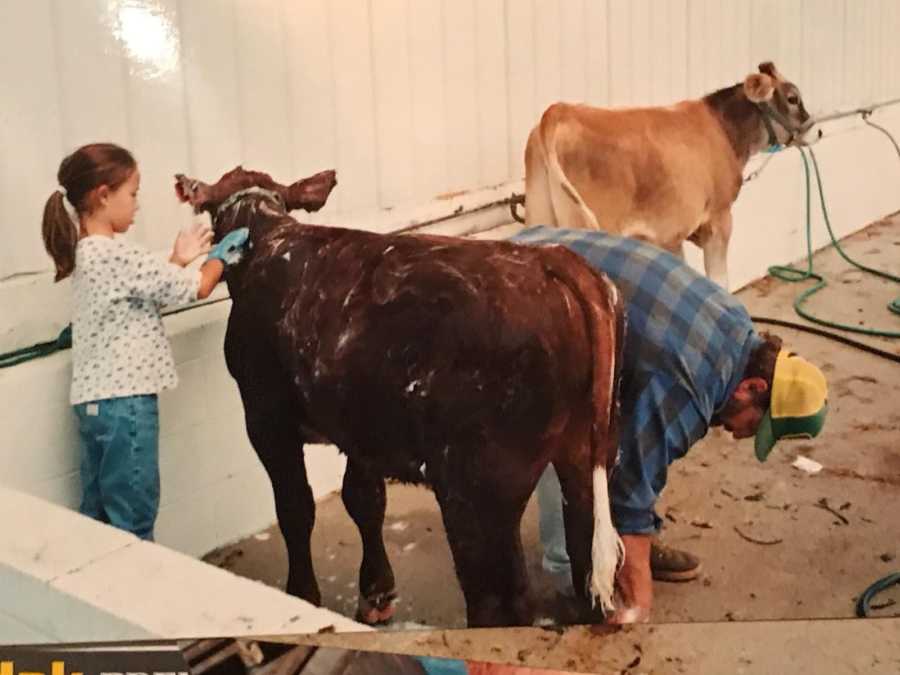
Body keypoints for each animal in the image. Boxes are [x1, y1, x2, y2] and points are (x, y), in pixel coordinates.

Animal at [524, 64, 820, 294]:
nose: (817, 131)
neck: (723, 130)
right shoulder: (720, 218)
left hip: (540, 217)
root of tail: (559, 112)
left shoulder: (672, 235)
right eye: (793, 98)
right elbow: (719, 282)